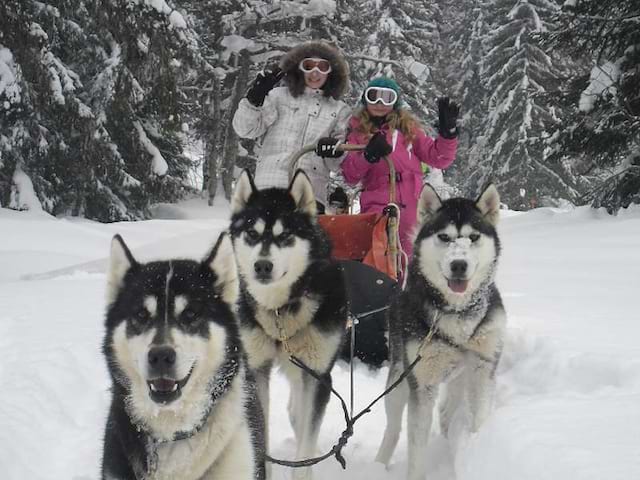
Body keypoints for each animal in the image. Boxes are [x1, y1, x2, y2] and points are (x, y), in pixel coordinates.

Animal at [225, 171, 344, 478]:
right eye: (252, 233)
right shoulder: (257, 372)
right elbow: (260, 437)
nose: (262, 266)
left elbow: (306, 445)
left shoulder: (318, 376)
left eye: (286, 235)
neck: (281, 312)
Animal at [376, 184, 504, 480]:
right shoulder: (421, 384)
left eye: (473, 237)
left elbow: (479, 416)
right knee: (393, 428)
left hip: (459, 373)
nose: (459, 264)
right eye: (444, 237)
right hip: (398, 379)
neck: (457, 313)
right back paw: (379, 464)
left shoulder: (483, 367)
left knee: (448, 408)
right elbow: (416, 448)